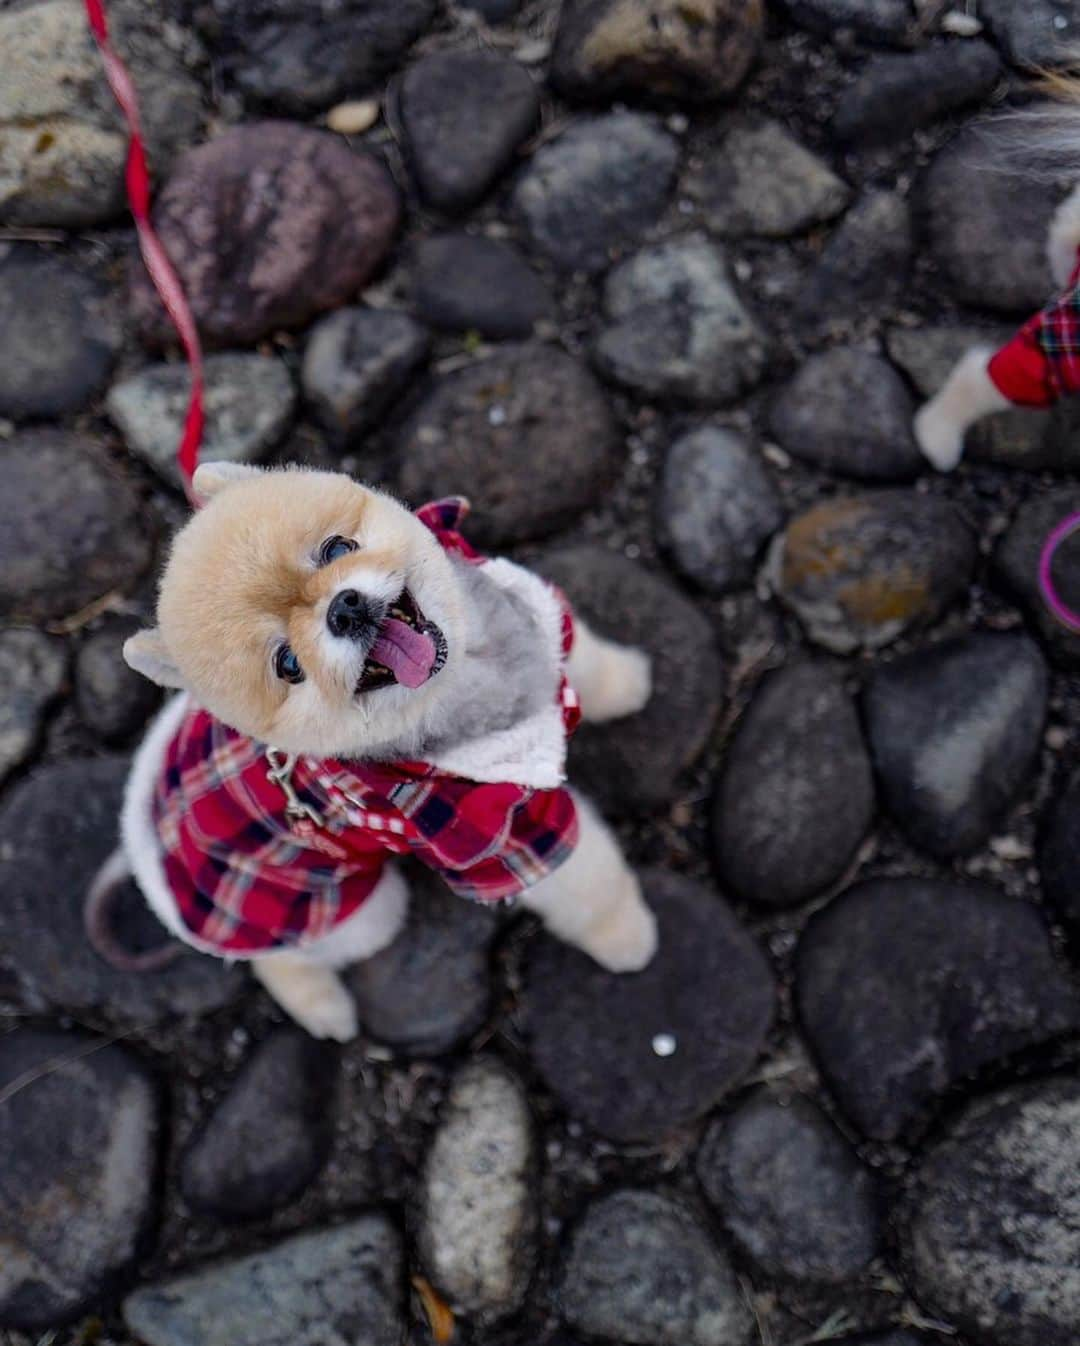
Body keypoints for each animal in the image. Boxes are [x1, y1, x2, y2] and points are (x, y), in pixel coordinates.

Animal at [117, 463, 657, 1039]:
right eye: (288, 665)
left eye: (336, 549)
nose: (344, 608)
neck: (465, 678)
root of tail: (146, 839)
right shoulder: (500, 836)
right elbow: (589, 886)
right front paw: (628, 937)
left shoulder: (539, 621)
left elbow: (588, 666)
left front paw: (631, 683)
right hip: (348, 911)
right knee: (279, 957)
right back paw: (323, 1010)